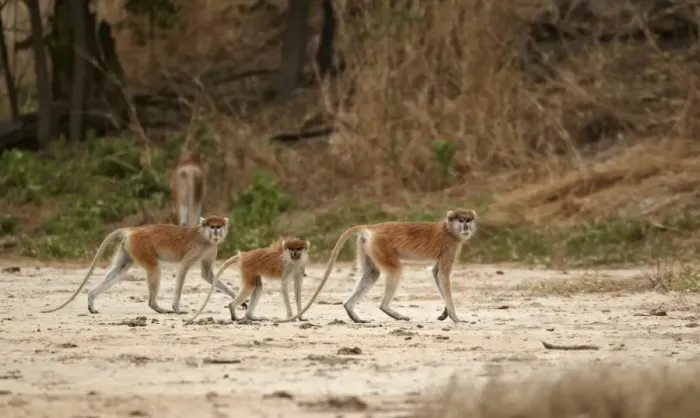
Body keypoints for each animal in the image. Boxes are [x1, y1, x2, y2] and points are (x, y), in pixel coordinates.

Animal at [41, 216, 236, 315]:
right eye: (212, 226)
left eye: (219, 226)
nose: (216, 232)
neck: (204, 237)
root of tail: (133, 230)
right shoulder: (197, 248)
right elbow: (183, 269)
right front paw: (177, 308)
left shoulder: (211, 250)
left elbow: (208, 275)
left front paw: (237, 299)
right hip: (142, 247)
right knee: (154, 269)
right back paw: (155, 306)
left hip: (129, 248)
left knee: (119, 270)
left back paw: (91, 298)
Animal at [275, 209, 477, 324]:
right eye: (461, 220)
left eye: (468, 220)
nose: (466, 226)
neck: (449, 229)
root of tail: (372, 228)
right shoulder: (450, 246)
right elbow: (443, 275)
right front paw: (456, 317)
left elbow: (436, 273)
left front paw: (445, 313)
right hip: (382, 246)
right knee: (395, 271)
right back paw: (390, 310)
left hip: (368, 247)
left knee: (371, 273)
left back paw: (351, 311)